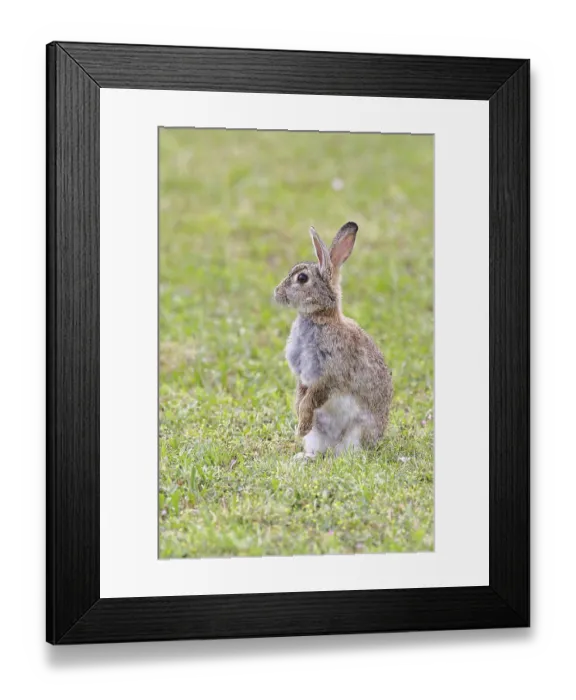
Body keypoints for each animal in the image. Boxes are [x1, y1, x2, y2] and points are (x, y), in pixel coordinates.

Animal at [274, 222, 393, 459]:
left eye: (302, 278)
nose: (276, 292)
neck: (320, 317)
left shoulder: (330, 375)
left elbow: (312, 399)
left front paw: (301, 426)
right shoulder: (304, 377)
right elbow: (301, 396)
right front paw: (299, 422)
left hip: (357, 431)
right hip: (317, 436)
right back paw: (304, 457)